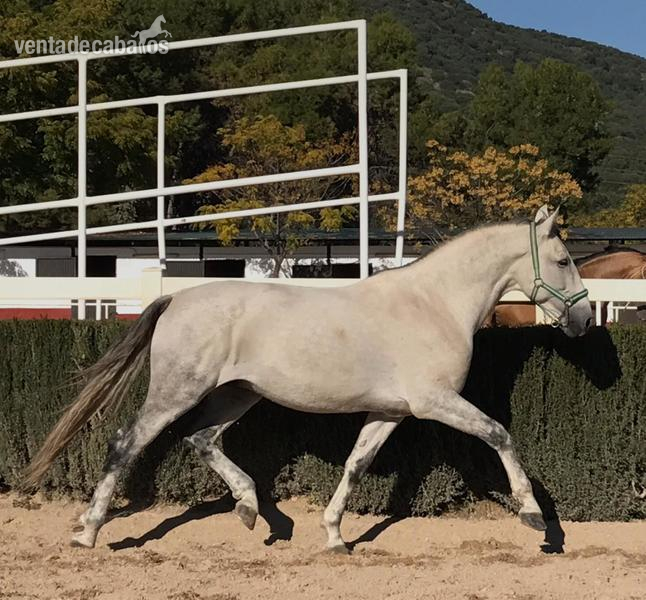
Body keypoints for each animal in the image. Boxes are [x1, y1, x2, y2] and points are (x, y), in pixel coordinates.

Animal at [23, 206, 592, 553]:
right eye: (564, 260)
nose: (585, 320)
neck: (434, 305)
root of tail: (175, 298)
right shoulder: (434, 401)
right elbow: (500, 434)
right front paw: (536, 519)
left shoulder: (391, 411)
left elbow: (356, 465)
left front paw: (336, 535)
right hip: (176, 391)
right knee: (126, 443)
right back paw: (88, 532)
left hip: (237, 395)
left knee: (201, 440)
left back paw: (253, 512)